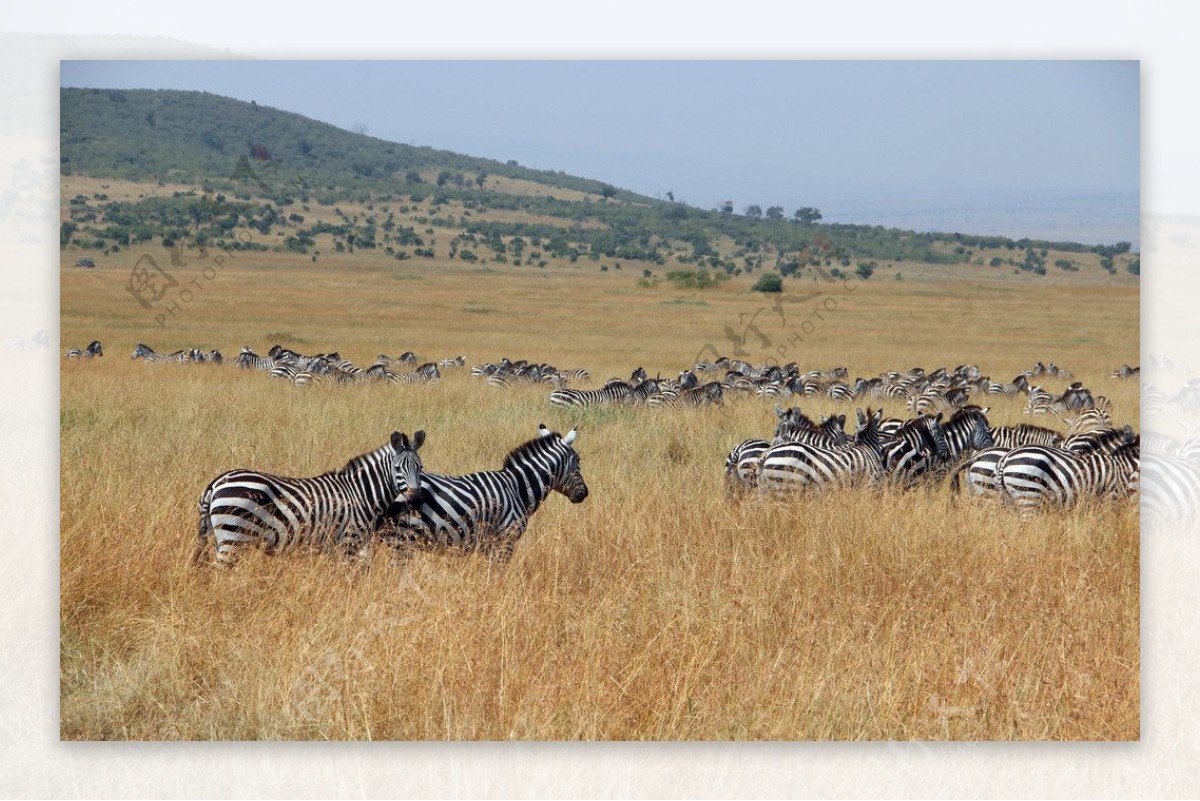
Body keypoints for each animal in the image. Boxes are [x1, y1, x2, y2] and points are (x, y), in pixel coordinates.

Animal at [194, 429, 424, 565]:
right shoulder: (348, 541)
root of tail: (216, 483)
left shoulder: (334, 546)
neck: (362, 492)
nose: (415, 498)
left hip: (218, 537)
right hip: (233, 536)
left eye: (420, 467)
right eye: (397, 468)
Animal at [376, 424, 588, 563]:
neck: (517, 488)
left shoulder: (488, 544)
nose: (584, 494)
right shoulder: (505, 540)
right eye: (578, 461)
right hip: (401, 539)